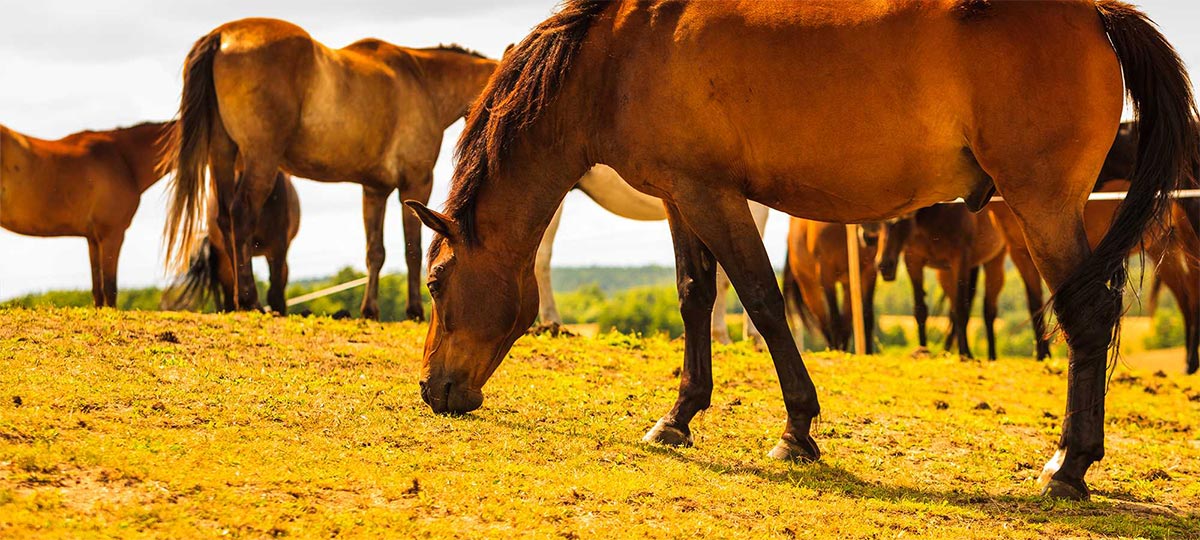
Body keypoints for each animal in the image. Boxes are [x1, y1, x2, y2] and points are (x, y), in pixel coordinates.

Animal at [781, 219, 878, 353]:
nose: (870, 236)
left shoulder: (869, 270)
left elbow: (867, 315)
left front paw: (868, 352)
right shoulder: (826, 272)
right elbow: (834, 318)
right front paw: (837, 350)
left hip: (848, 284)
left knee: (845, 321)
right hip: (809, 286)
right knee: (823, 320)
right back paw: (834, 348)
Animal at [876, 204, 1007, 360]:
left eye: (902, 220)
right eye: (880, 223)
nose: (884, 265)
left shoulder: (960, 258)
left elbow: (961, 309)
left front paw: (964, 354)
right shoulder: (913, 260)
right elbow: (920, 310)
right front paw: (923, 350)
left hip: (994, 261)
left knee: (988, 311)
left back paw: (990, 357)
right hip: (946, 273)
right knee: (955, 310)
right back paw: (949, 351)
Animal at [991, 180, 1200, 372]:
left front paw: (1045, 357)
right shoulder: (1020, 250)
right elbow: (1034, 302)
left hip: (1186, 234)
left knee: (1192, 290)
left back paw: (1191, 362)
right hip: (1162, 247)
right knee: (1184, 296)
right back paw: (1189, 362)